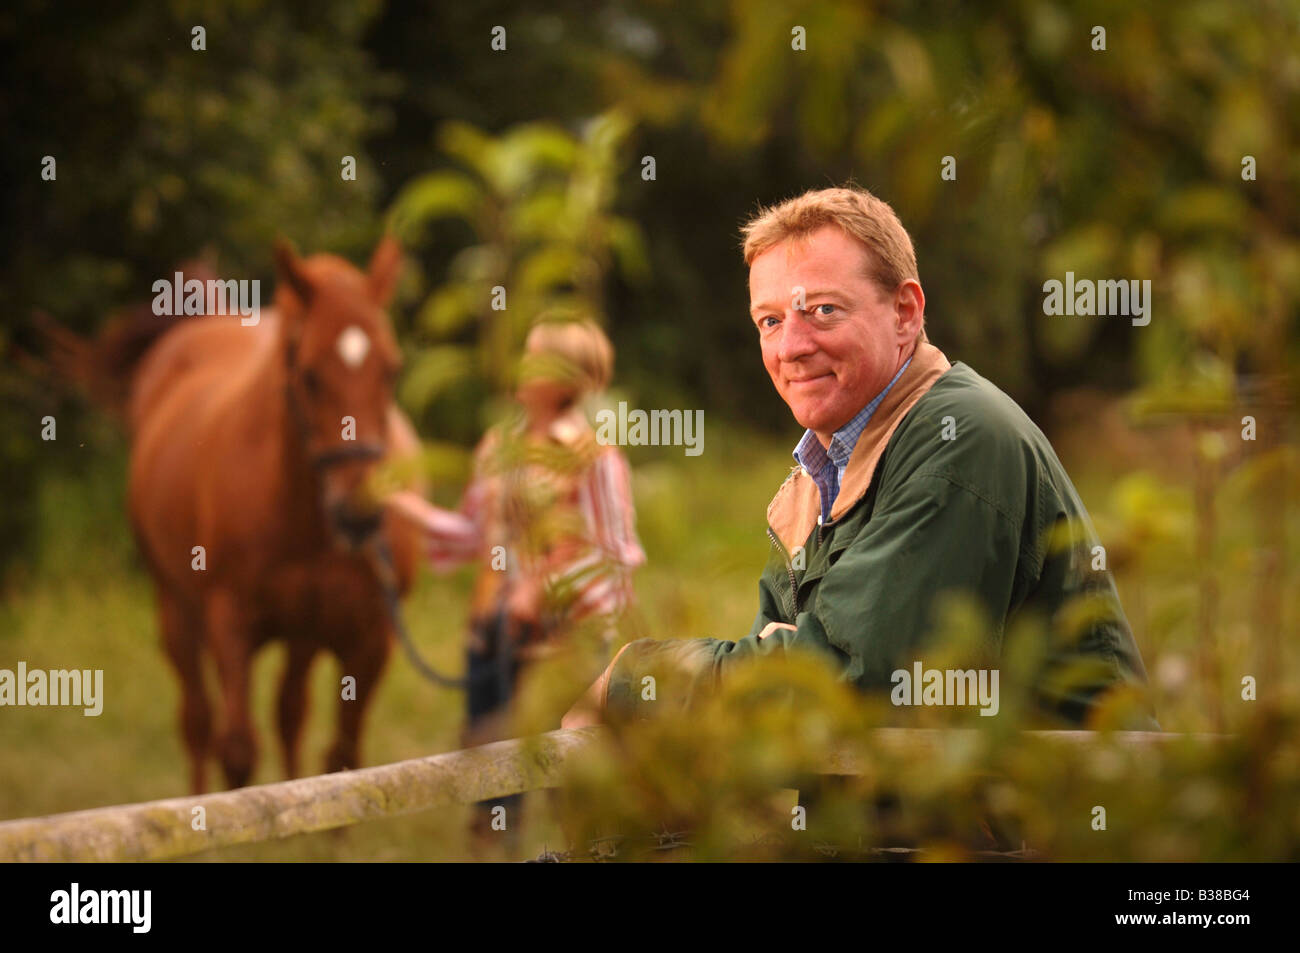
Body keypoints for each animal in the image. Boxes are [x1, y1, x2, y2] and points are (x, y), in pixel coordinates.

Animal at [128, 237, 421, 790]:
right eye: (308, 375)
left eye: (392, 370)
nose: (359, 515)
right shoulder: (230, 625)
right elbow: (238, 750)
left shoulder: (369, 637)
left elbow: (344, 756)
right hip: (176, 609)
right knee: (198, 723)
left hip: (302, 635)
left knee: (290, 713)